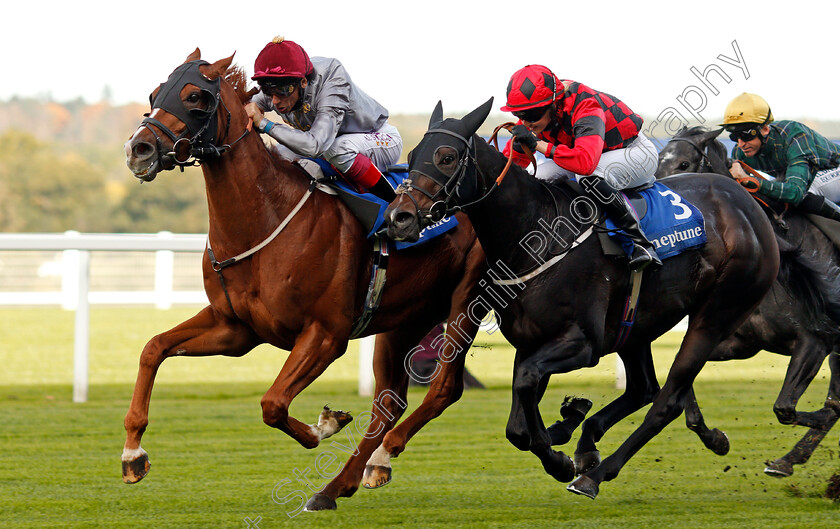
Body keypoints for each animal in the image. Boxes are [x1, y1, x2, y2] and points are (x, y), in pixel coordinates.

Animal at [119, 51, 488, 510]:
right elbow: (153, 349)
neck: (267, 220)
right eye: (155, 94)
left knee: (443, 388)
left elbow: (273, 403)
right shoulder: (235, 328)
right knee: (389, 400)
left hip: (466, 302)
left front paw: (326, 424)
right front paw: (133, 453)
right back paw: (344, 483)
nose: (138, 149)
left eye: (195, 98)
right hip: (406, 318)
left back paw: (372, 462)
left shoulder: (326, 334)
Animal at [386, 100, 780, 500]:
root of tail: (745, 202)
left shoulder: (582, 343)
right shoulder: (530, 341)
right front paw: (564, 435)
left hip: (714, 315)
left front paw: (561, 457)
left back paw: (595, 474)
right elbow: (518, 426)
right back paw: (589, 443)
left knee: (666, 401)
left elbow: (526, 386)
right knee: (643, 388)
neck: (536, 233)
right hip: (636, 324)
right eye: (413, 155)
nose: (399, 217)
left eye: (447, 157)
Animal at [656, 126, 840, 476]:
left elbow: (786, 408)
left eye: (684, 163)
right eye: (658, 162)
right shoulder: (739, 342)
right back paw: (786, 460)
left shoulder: (816, 340)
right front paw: (715, 439)